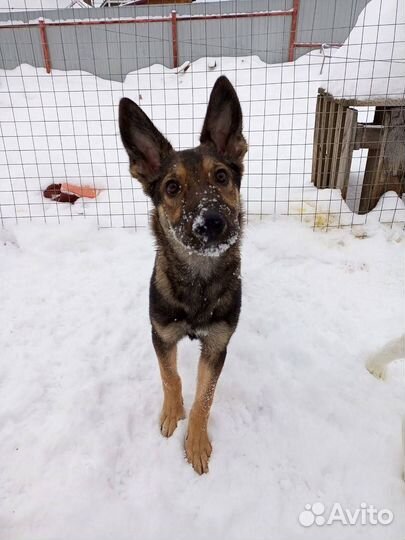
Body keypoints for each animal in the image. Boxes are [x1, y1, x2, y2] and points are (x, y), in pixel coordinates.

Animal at [118, 76, 246, 472]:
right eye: (172, 187)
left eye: (221, 176)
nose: (212, 224)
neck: (197, 284)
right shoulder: (160, 335)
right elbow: (170, 376)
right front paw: (173, 414)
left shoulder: (218, 345)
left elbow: (205, 396)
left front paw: (197, 443)